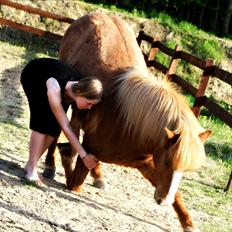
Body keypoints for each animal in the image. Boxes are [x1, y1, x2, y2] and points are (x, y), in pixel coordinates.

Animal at [44, 11, 212, 232]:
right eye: (167, 162)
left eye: (185, 169)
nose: (163, 201)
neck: (128, 123)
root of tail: (94, 14)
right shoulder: (91, 153)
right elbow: (75, 182)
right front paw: (65, 156)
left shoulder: (144, 163)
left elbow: (176, 193)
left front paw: (188, 223)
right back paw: (50, 165)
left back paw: (98, 176)